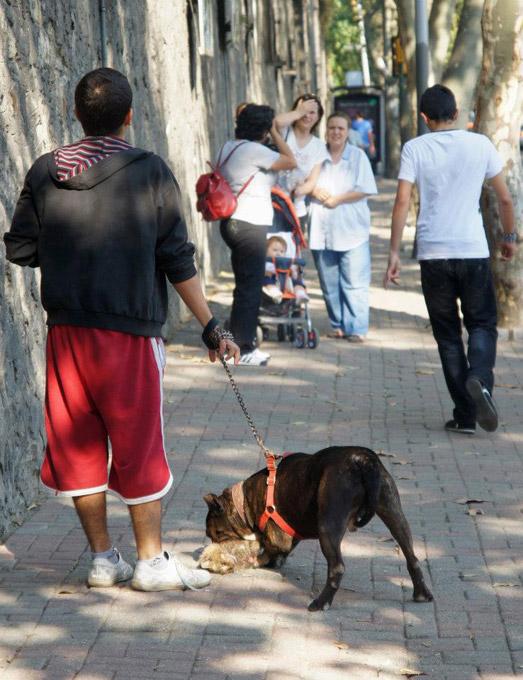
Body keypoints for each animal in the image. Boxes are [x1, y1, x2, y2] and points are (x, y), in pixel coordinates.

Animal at [205, 446, 434, 612]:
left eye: (215, 535)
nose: (211, 546)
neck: (244, 501)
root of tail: (361, 460)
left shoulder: (275, 537)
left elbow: (267, 548)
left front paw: (253, 559)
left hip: (328, 526)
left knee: (337, 567)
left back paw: (321, 602)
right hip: (392, 509)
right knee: (411, 555)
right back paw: (421, 593)